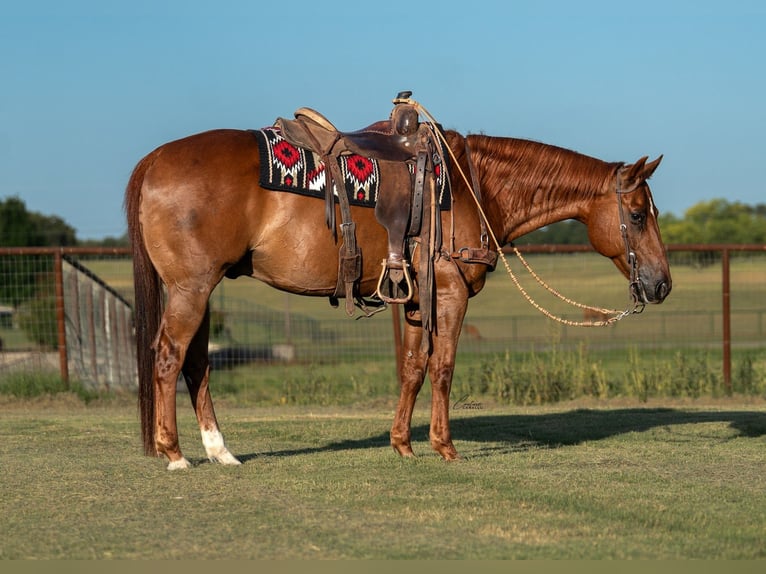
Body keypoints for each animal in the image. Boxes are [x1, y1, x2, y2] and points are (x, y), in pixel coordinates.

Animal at [125, 121, 671, 470]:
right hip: (191, 290)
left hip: (200, 290)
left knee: (197, 364)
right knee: (169, 357)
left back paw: (220, 452)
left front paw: (402, 444)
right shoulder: (449, 295)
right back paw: (175, 454)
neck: (472, 185)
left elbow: (412, 368)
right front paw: (444, 446)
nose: (661, 283)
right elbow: (443, 367)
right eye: (638, 214)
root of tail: (153, 160)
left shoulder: (413, 300)